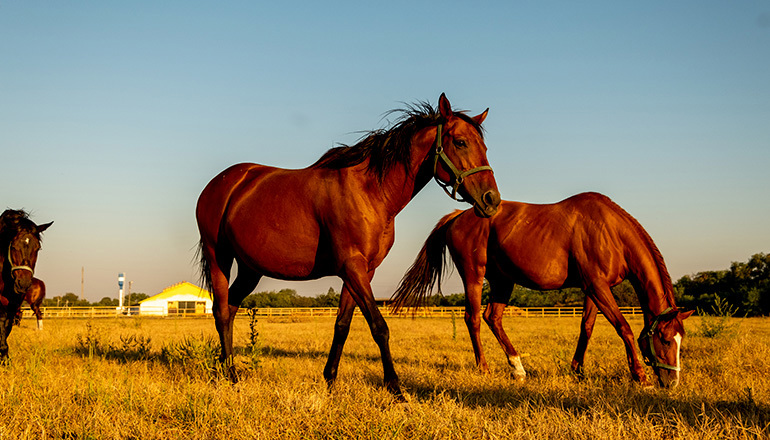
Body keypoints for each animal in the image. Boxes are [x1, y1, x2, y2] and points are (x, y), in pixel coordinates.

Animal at [195, 94, 500, 398]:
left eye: (484, 146)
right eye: (460, 142)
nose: (491, 200)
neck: (370, 191)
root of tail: (224, 182)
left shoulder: (363, 271)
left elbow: (342, 325)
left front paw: (330, 379)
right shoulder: (352, 267)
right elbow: (379, 327)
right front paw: (395, 387)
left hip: (250, 269)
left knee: (230, 309)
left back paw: (225, 368)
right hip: (218, 258)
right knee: (221, 311)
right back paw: (231, 375)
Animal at [392, 192, 692, 388]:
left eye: (681, 339)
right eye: (665, 339)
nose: (673, 381)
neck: (609, 231)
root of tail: (458, 216)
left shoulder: (593, 289)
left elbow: (586, 328)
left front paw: (578, 370)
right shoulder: (597, 286)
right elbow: (624, 328)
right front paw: (639, 375)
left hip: (502, 281)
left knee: (493, 318)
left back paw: (518, 369)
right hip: (474, 276)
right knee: (473, 319)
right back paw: (484, 368)